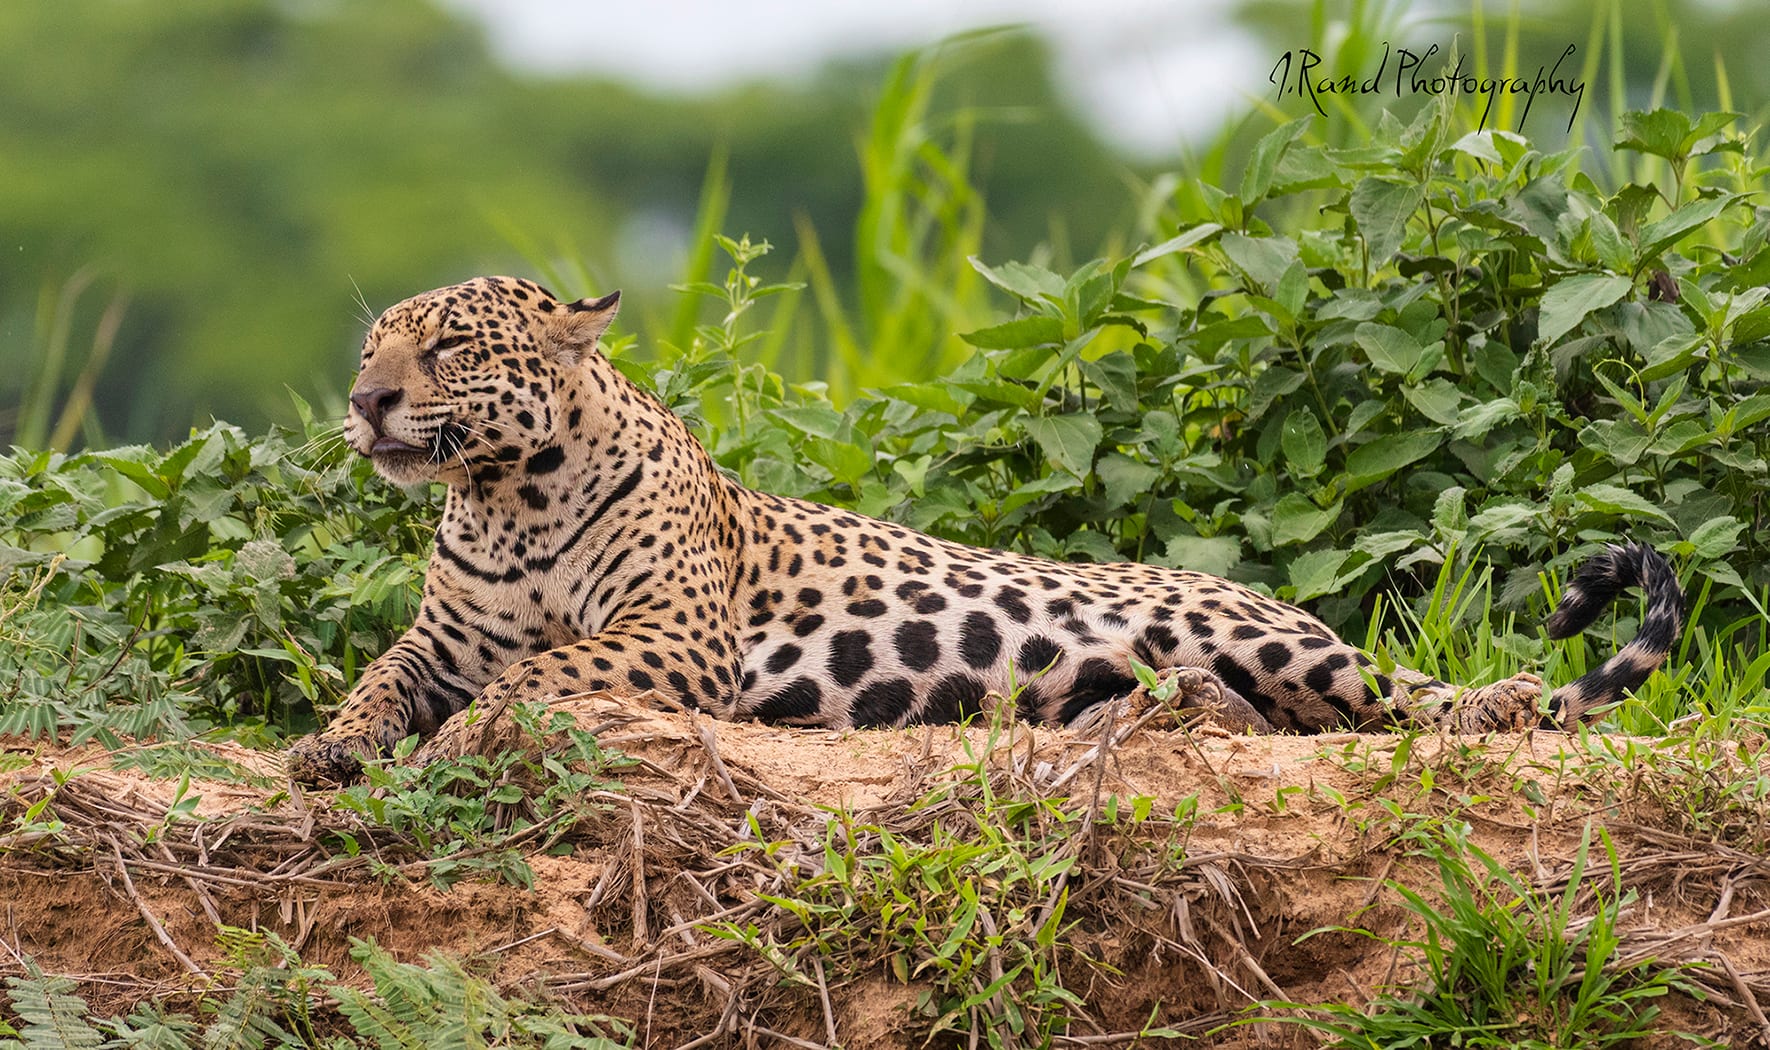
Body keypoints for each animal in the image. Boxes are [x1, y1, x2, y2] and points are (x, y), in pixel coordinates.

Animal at [285, 276, 1686, 784]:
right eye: (368, 347)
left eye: (447, 347)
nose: (365, 402)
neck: (506, 497)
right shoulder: (445, 635)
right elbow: (383, 676)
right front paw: (331, 746)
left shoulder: (673, 637)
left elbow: (537, 674)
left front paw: (455, 738)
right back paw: (1154, 717)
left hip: (1265, 635)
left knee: (1419, 704)